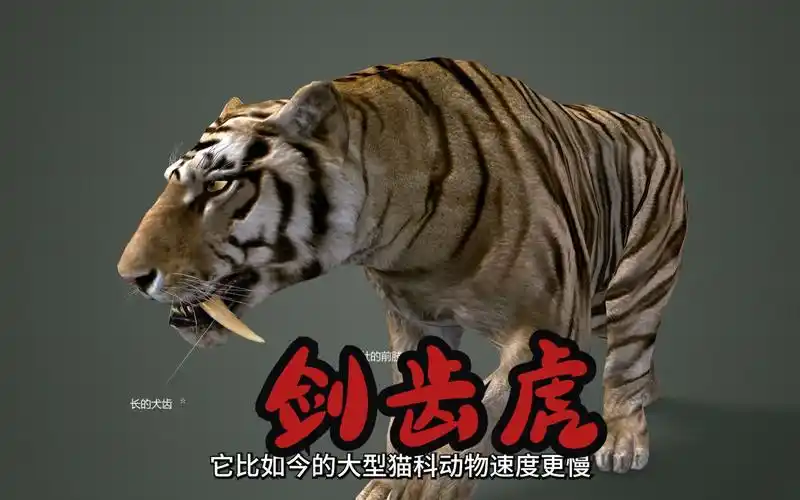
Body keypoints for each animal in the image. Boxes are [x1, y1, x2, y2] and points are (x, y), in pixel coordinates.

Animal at [117, 57, 687, 500]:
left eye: (218, 185)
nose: (128, 276)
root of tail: (650, 123)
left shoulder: (548, 319)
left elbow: (493, 399)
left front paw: (439, 481)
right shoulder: (414, 319)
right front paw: (392, 484)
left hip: (633, 281)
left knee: (628, 358)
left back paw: (623, 439)